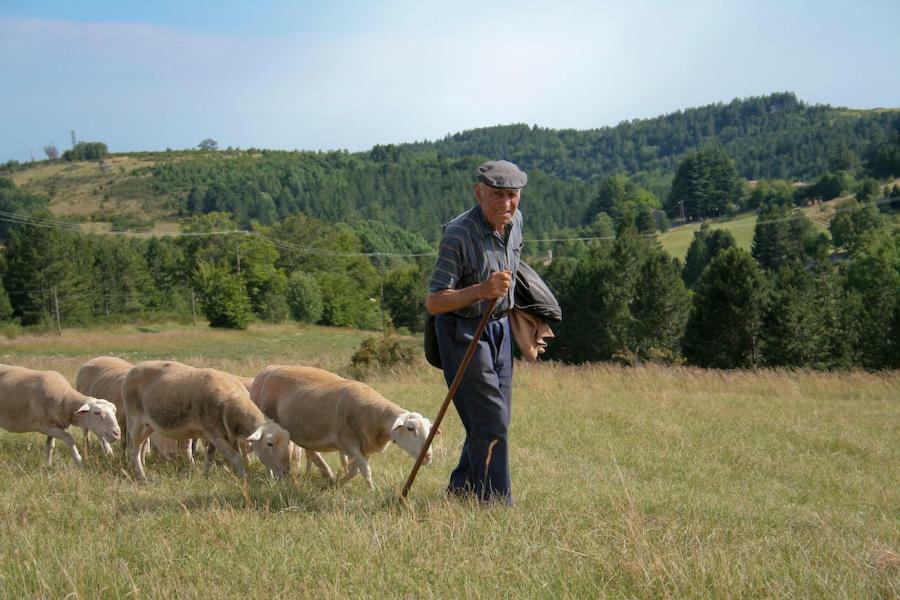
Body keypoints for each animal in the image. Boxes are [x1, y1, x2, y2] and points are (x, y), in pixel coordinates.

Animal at [123, 358, 290, 480]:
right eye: (270, 443)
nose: (286, 472)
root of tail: (134, 369)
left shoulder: (219, 434)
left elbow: (209, 458)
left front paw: (204, 476)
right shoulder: (214, 432)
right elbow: (235, 457)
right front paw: (244, 479)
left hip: (148, 425)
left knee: (141, 446)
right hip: (135, 421)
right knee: (134, 449)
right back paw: (141, 476)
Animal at [251, 366, 438, 488]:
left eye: (431, 430)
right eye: (410, 428)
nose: (428, 456)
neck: (373, 415)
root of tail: (266, 369)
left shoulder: (364, 447)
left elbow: (356, 469)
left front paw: (339, 484)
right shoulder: (349, 442)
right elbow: (364, 470)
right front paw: (370, 490)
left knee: (310, 452)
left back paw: (326, 474)